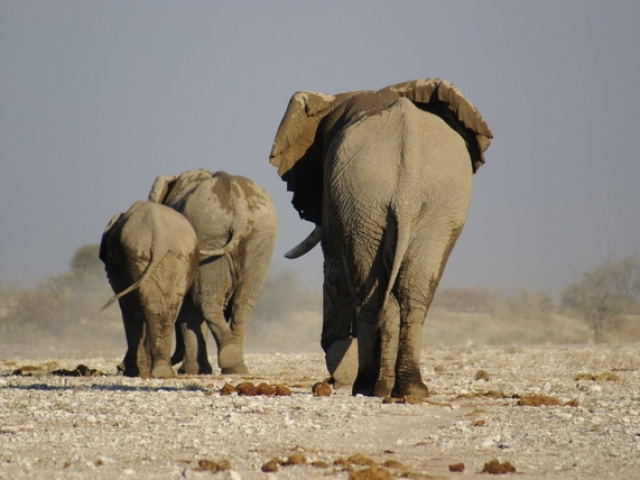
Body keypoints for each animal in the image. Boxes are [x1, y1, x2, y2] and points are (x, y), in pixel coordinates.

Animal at [100, 200, 200, 378]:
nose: (119, 368)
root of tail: (159, 239)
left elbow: (129, 313)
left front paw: (130, 371)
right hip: (175, 259)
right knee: (166, 310)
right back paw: (162, 372)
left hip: (136, 259)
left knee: (141, 312)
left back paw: (148, 371)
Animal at [150, 169, 280, 376]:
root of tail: (239, 207)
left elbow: (188, 308)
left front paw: (190, 371)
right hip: (260, 237)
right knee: (243, 305)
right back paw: (236, 367)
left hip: (209, 233)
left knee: (206, 302)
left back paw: (229, 362)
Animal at [268, 78, 492, 398]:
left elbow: (333, 270)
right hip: (423, 204)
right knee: (411, 293)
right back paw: (409, 390)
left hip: (367, 199)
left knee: (370, 293)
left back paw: (368, 387)